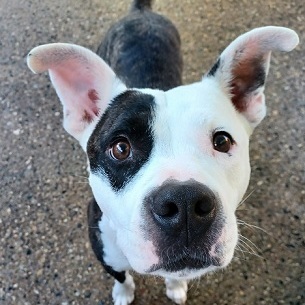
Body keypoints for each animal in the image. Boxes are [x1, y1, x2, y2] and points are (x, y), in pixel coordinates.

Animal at [27, 0, 298, 304]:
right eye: (120, 148)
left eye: (222, 141)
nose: (185, 203)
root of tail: (141, 11)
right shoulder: (105, 252)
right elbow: (121, 276)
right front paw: (123, 293)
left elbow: (177, 273)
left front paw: (176, 288)